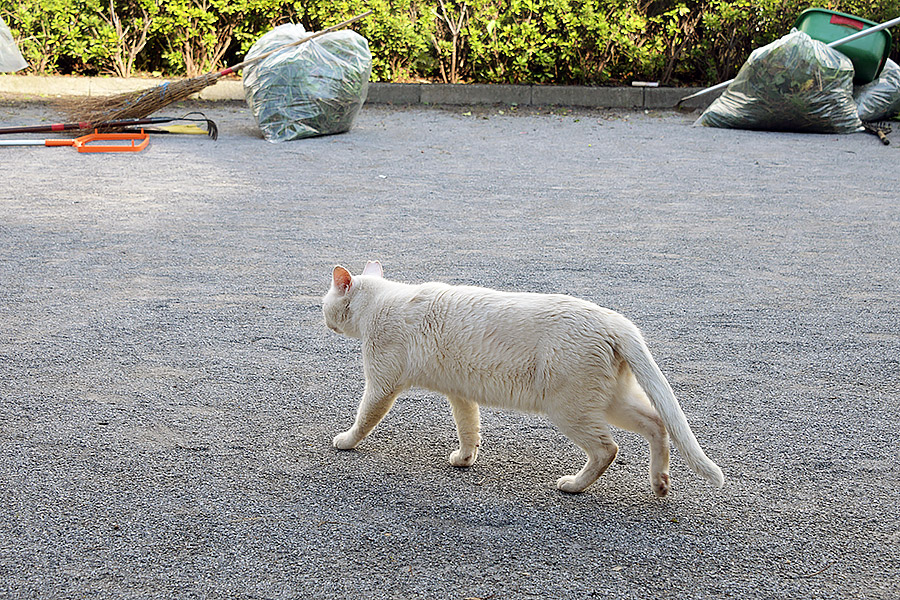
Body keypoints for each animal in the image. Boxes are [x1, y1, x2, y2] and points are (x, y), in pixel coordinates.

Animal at [324, 260, 724, 494]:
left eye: (325, 304)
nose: (325, 321)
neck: (378, 303)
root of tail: (615, 321)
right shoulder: (460, 393)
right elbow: (468, 428)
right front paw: (465, 459)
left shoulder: (381, 385)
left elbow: (364, 418)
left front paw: (346, 441)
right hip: (610, 402)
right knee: (658, 423)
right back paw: (660, 483)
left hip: (570, 409)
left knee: (607, 449)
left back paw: (574, 486)